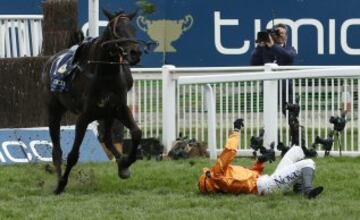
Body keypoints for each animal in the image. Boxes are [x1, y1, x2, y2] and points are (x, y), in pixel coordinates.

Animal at [41, 9, 142, 194]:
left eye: (133, 29)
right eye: (117, 31)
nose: (135, 53)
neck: (105, 75)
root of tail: (52, 59)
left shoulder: (118, 108)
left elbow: (137, 132)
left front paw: (125, 163)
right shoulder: (84, 117)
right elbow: (73, 155)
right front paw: (62, 183)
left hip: (107, 115)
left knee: (107, 138)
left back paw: (121, 163)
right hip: (54, 111)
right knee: (57, 150)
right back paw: (58, 180)